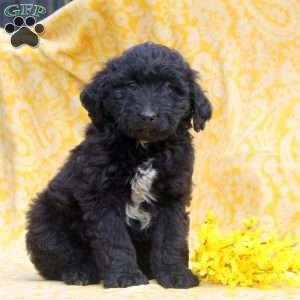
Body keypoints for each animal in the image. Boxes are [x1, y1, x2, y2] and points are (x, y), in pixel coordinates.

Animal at [27, 42, 212, 288]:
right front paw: (126, 276)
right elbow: (114, 240)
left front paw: (175, 274)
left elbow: (172, 238)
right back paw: (79, 272)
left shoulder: (172, 196)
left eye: (170, 88)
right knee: (58, 255)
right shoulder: (102, 197)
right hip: (44, 218)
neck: (144, 150)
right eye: (130, 85)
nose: (148, 115)